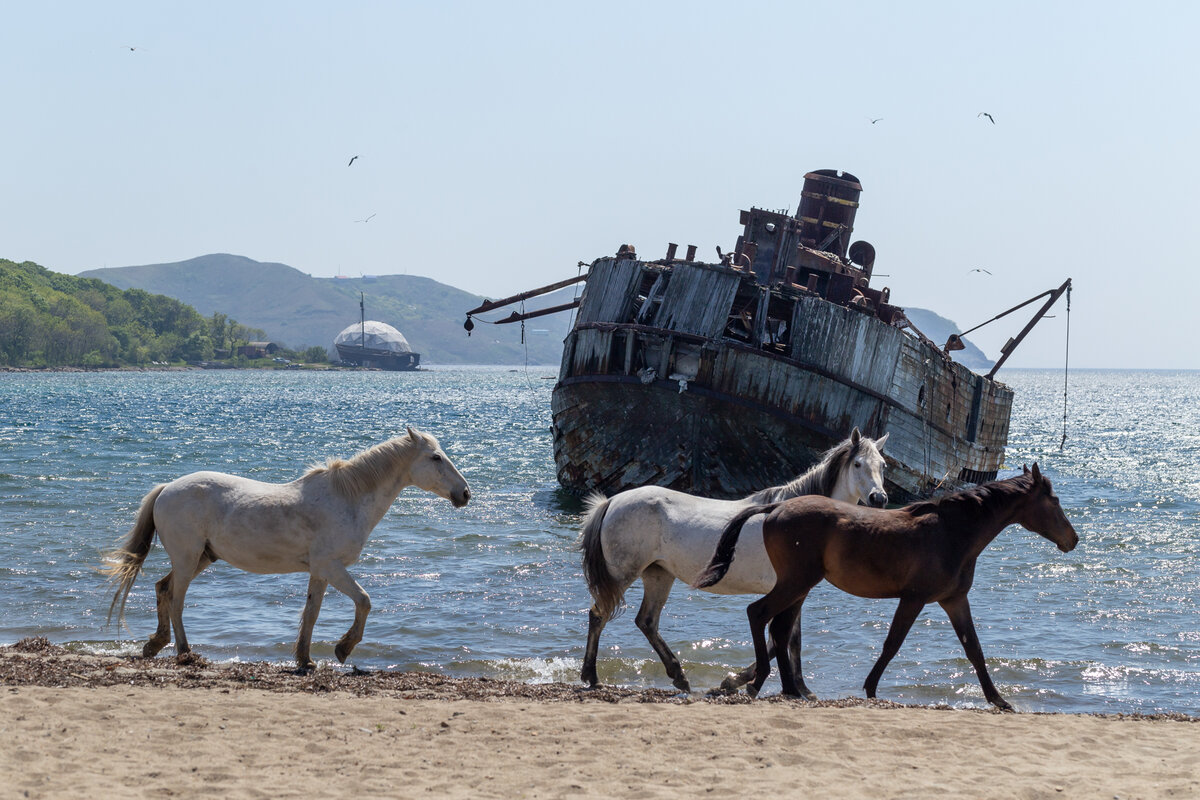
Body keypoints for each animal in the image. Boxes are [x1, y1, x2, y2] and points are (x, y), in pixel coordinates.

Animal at [102, 431, 468, 671]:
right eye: (435, 457)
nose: (464, 493)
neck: (346, 500)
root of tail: (166, 489)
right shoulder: (331, 566)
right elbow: (364, 601)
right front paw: (342, 649)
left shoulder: (319, 571)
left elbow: (312, 613)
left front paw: (306, 659)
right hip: (187, 557)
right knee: (176, 599)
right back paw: (184, 651)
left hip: (201, 557)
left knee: (163, 589)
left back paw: (155, 644)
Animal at [576, 424, 888, 695]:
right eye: (858, 464)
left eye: (882, 465)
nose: (880, 498)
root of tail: (612, 502)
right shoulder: (790, 591)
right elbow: (782, 639)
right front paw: (740, 682)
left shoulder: (793, 592)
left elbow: (789, 640)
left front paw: (795, 687)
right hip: (623, 573)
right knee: (598, 615)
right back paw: (592, 677)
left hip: (658, 574)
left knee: (647, 621)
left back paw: (679, 676)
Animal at [696, 462, 1080, 714]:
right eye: (1055, 501)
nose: (1073, 539)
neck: (953, 533)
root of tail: (776, 506)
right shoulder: (914, 598)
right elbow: (893, 644)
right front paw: (870, 689)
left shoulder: (954, 600)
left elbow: (974, 650)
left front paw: (999, 699)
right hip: (797, 582)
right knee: (759, 614)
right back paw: (758, 682)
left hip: (798, 585)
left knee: (779, 627)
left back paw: (789, 690)